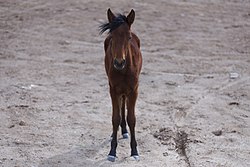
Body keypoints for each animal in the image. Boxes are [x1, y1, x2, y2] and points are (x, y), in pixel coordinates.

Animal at [99, 8, 143, 161]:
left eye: (128, 37)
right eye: (112, 37)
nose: (119, 62)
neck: (124, 70)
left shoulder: (134, 89)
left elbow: (132, 119)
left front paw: (134, 151)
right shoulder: (113, 89)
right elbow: (115, 118)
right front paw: (112, 152)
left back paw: (124, 131)